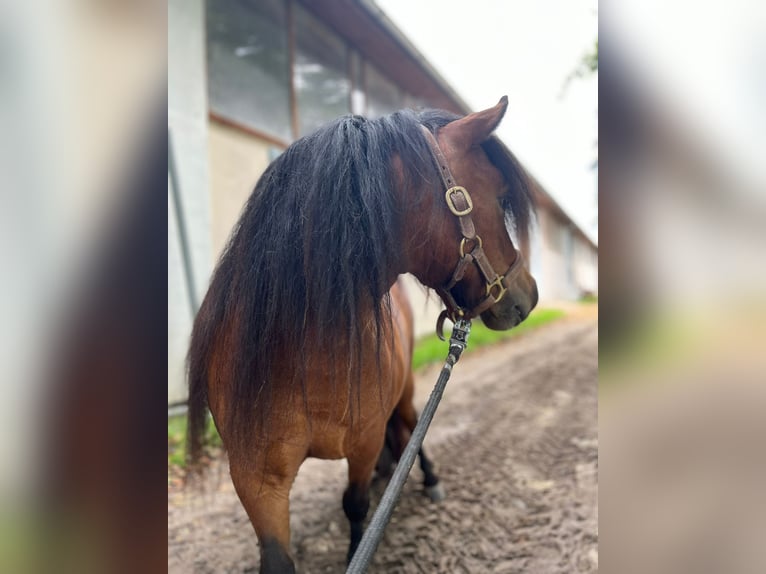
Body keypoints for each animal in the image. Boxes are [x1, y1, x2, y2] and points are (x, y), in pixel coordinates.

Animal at [188, 97, 536, 572]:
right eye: (500, 196)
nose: (528, 296)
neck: (304, 356)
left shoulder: (365, 442)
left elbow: (355, 505)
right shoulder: (255, 477)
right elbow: (277, 555)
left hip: (405, 394)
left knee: (409, 429)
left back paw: (428, 478)